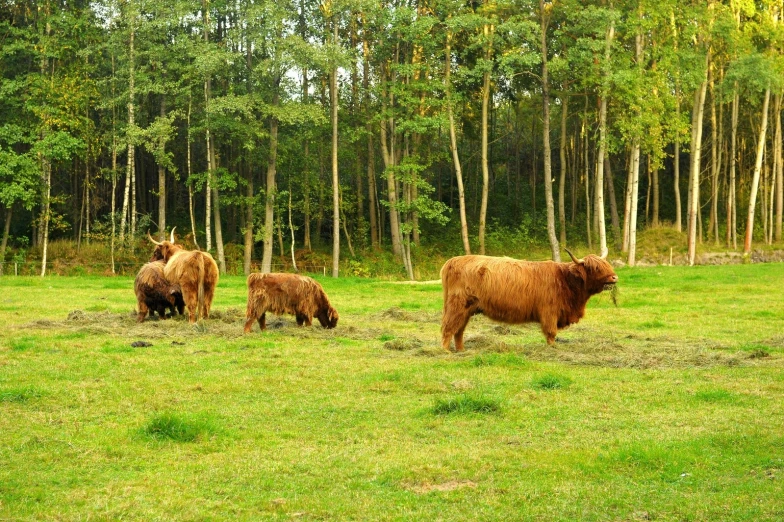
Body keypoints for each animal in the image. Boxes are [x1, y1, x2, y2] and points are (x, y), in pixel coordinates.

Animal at [440, 249, 620, 350]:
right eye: (595, 268)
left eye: (606, 264)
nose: (614, 277)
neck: (566, 280)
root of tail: (453, 261)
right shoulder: (549, 312)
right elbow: (551, 333)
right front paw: (552, 349)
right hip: (457, 305)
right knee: (448, 328)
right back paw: (445, 352)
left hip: (467, 309)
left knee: (459, 330)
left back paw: (461, 351)